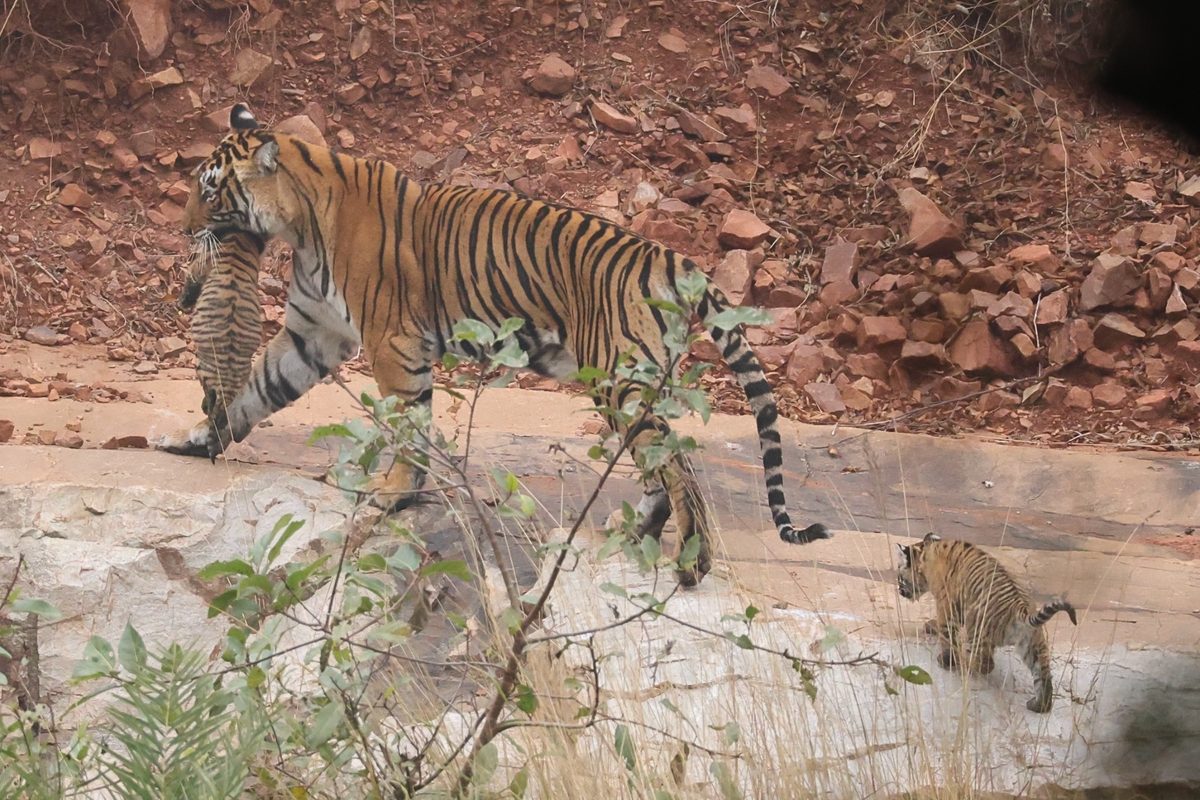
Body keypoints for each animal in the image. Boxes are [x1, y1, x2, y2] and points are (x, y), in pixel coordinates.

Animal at [174, 228, 267, 457]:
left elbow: (190, 284)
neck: (240, 240)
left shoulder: (196, 269)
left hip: (201, 365)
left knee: (209, 398)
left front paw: (182, 303)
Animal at [896, 532, 1077, 712]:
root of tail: (1020, 607)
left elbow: (946, 635)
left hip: (976, 630)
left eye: (899, 577)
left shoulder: (946, 606)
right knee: (1043, 676)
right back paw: (1038, 705)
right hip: (1033, 644)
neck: (928, 552)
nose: (899, 591)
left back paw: (963, 663)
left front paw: (946, 659)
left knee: (986, 663)